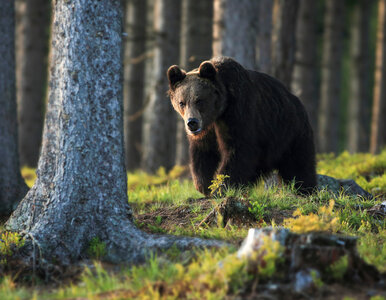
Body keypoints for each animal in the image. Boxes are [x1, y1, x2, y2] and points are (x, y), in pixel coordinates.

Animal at [167, 57, 316, 196]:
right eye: (182, 102)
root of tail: (296, 100)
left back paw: (305, 189)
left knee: (298, 165)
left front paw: (222, 187)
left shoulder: (239, 113)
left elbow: (238, 151)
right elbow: (203, 152)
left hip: (290, 132)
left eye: (199, 100)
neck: (219, 111)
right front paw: (204, 185)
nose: (192, 122)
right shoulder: (207, 131)